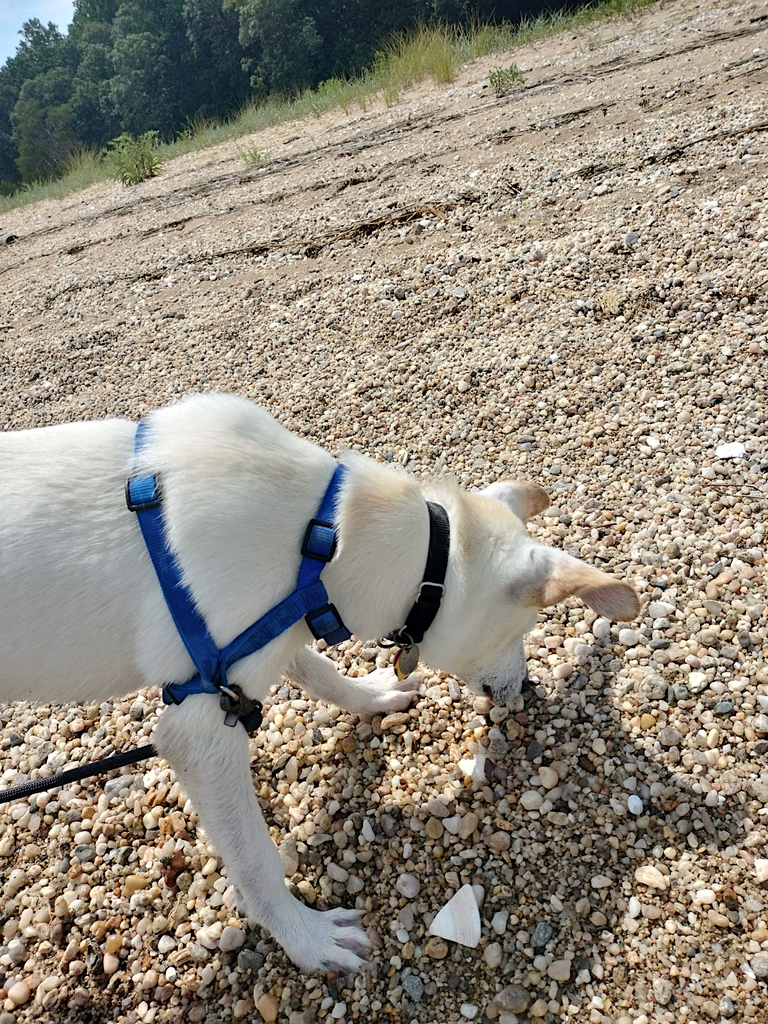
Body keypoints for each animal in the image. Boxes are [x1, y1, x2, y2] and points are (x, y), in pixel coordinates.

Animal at [0, 395, 638, 970]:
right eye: (524, 627)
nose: (524, 690)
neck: (325, 531)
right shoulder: (202, 731)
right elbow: (256, 863)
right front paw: (306, 939)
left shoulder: (270, 641)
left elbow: (323, 673)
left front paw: (374, 696)